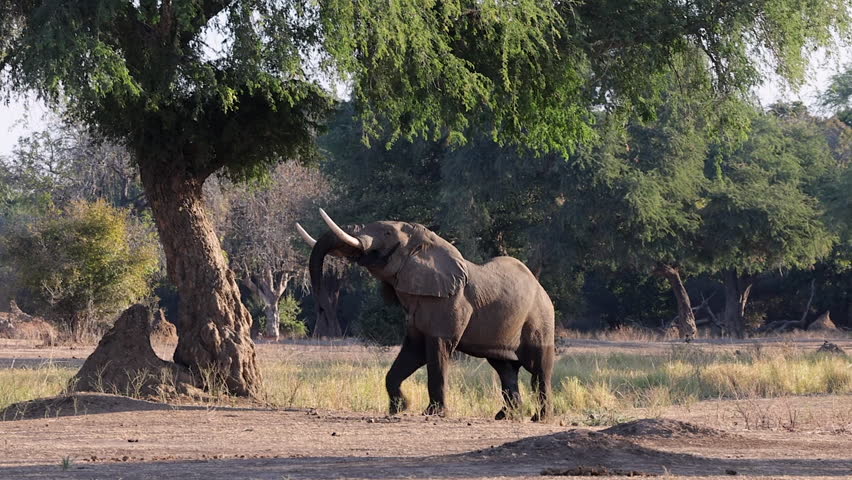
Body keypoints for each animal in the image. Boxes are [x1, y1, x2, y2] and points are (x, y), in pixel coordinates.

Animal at [297, 209, 555, 421]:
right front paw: (399, 408)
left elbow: (437, 352)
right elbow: (414, 351)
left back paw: (539, 419)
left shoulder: (449, 304)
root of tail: (543, 290)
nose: (322, 308)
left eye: (388, 232)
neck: (428, 244)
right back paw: (505, 416)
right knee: (505, 369)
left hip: (540, 318)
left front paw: (433, 413)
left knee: (539, 369)